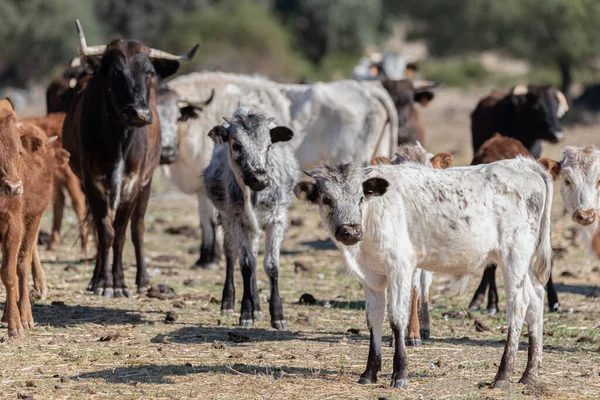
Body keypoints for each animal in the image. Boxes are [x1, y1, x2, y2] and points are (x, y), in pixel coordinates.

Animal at [64, 21, 198, 296]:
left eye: (148, 72)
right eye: (115, 71)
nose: (139, 112)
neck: (119, 137)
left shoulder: (133, 183)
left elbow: (122, 231)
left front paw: (119, 283)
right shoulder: (92, 182)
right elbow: (104, 231)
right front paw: (103, 283)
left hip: (146, 184)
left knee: (138, 229)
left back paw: (143, 280)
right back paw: (96, 277)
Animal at [205, 105, 298, 328]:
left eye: (269, 145)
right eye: (237, 145)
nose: (259, 178)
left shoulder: (277, 219)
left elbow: (271, 265)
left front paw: (278, 315)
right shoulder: (236, 219)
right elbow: (246, 265)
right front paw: (246, 313)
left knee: (254, 256)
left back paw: (258, 308)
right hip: (228, 220)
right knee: (232, 256)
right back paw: (228, 304)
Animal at [296, 158, 552, 390]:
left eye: (360, 198)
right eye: (327, 199)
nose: (350, 231)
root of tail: (523, 164)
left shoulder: (400, 267)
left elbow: (397, 318)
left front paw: (400, 374)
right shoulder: (371, 277)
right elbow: (374, 320)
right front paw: (369, 373)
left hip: (514, 255)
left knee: (518, 306)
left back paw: (503, 375)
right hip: (523, 262)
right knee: (537, 297)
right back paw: (529, 374)